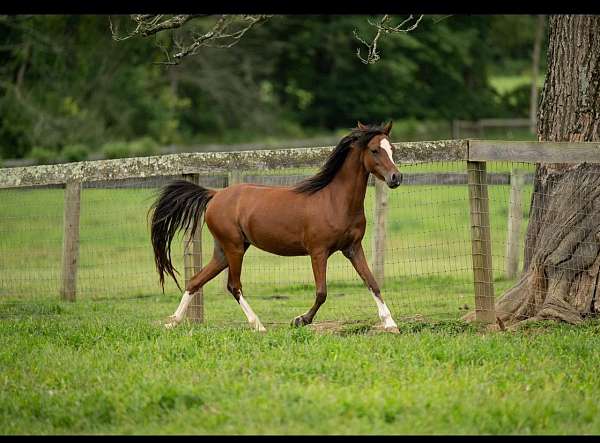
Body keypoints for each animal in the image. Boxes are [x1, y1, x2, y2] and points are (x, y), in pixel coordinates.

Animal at [150, 123, 404, 332]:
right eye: (374, 150)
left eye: (392, 148)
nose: (396, 177)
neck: (335, 200)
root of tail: (214, 195)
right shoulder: (318, 252)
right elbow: (322, 292)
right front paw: (300, 320)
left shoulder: (353, 248)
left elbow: (372, 283)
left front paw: (390, 324)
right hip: (234, 248)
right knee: (233, 285)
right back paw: (258, 325)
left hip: (224, 251)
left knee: (195, 281)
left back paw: (172, 322)